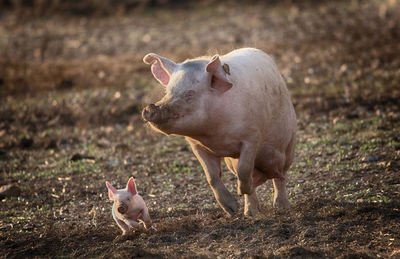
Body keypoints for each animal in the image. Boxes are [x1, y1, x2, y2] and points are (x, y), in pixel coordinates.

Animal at [142, 47, 296, 217]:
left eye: (190, 94)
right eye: (168, 91)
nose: (149, 109)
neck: (215, 137)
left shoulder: (253, 137)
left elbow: (244, 168)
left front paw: (240, 191)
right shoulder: (196, 146)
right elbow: (212, 177)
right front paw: (232, 210)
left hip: (288, 147)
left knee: (280, 177)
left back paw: (281, 207)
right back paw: (249, 213)